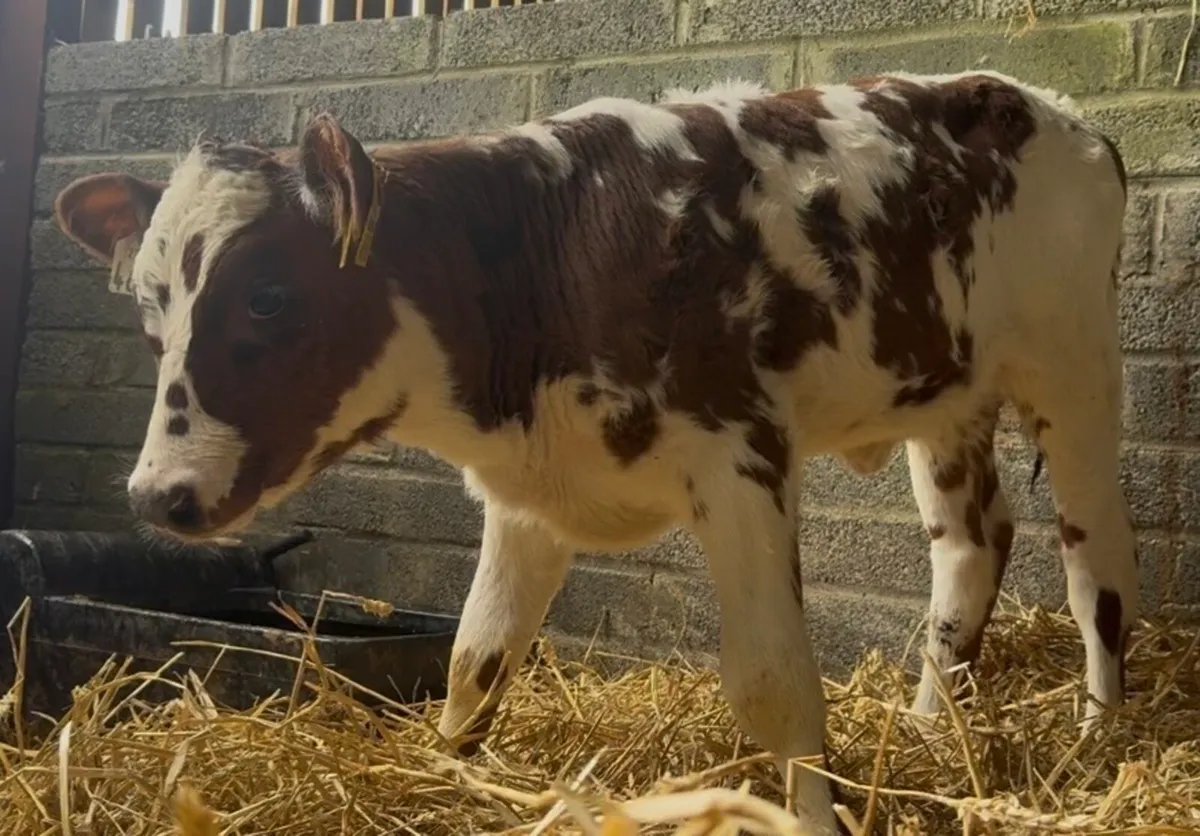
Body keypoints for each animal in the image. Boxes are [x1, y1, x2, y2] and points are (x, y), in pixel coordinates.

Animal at [52, 70, 1137, 833]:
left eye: (270, 296)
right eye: (150, 313)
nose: (157, 494)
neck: (545, 255)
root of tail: (1055, 111)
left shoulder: (741, 453)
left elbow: (774, 680)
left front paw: (813, 815)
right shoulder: (528, 493)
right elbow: (475, 660)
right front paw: (447, 777)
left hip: (1076, 368)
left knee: (1097, 562)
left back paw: (1098, 740)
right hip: (945, 395)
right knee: (971, 544)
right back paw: (927, 727)